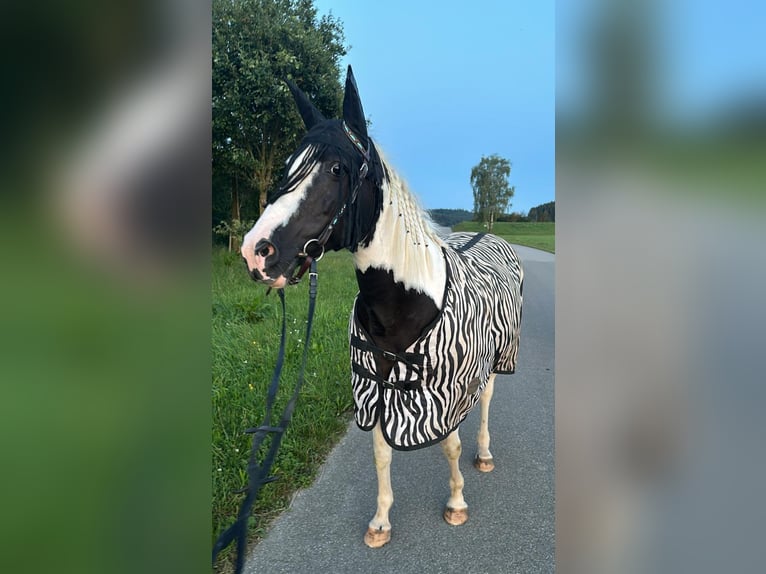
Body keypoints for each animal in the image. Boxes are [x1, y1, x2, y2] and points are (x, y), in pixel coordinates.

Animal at [241, 66, 523, 548]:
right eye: (289, 166)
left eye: (337, 168)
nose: (255, 252)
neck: (405, 302)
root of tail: (491, 235)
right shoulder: (374, 388)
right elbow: (380, 453)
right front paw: (380, 521)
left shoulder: (442, 392)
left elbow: (450, 445)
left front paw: (456, 503)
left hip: (498, 356)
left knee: (485, 397)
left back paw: (484, 453)